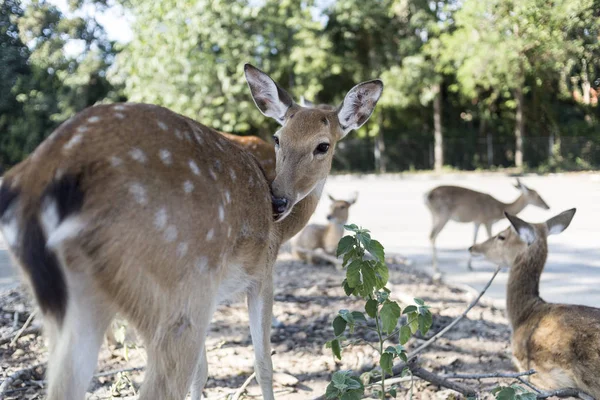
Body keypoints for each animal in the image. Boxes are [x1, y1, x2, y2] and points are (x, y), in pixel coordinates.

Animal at [0, 63, 384, 400]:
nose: (277, 200)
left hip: (77, 304)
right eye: (278, 138)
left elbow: (204, 371)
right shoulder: (261, 274)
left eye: (323, 145)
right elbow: (263, 364)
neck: (284, 230)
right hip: (175, 287)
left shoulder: (214, 294)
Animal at [424, 180, 552, 274]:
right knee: (432, 235)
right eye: (537, 195)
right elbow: (490, 236)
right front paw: (501, 267)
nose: (548, 206)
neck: (499, 208)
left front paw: (470, 265)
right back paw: (436, 269)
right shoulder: (487, 220)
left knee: (431, 235)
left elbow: (474, 239)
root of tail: (426, 196)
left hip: (434, 215)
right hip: (443, 214)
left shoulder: (477, 221)